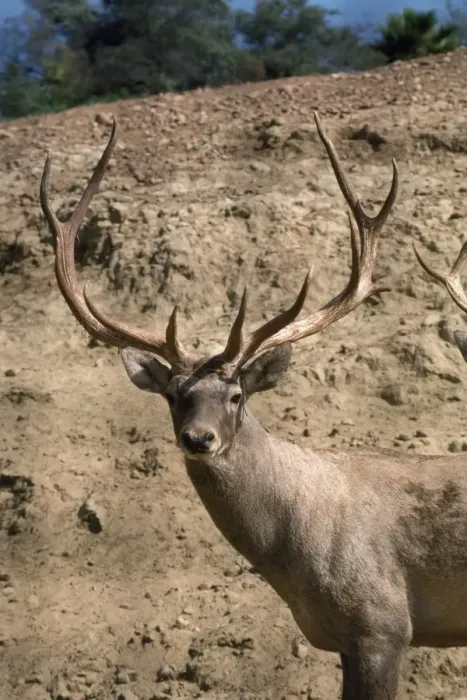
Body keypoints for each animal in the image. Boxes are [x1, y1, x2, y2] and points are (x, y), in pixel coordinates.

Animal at [40, 112, 467, 700]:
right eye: (175, 396)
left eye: (236, 395)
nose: (199, 439)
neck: (297, 556)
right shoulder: (345, 639)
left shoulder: (383, 624)